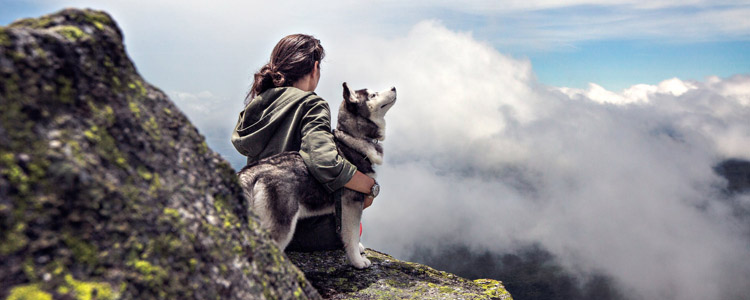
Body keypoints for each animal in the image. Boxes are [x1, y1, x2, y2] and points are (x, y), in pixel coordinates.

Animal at [238, 82, 396, 270]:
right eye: (373, 95)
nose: (394, 87)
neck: (352, 139)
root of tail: (252, 171)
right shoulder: (352, 204)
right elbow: (351, 234)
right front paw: (357, 261)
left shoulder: (341, 208)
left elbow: (347, 233)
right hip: (282, 224)